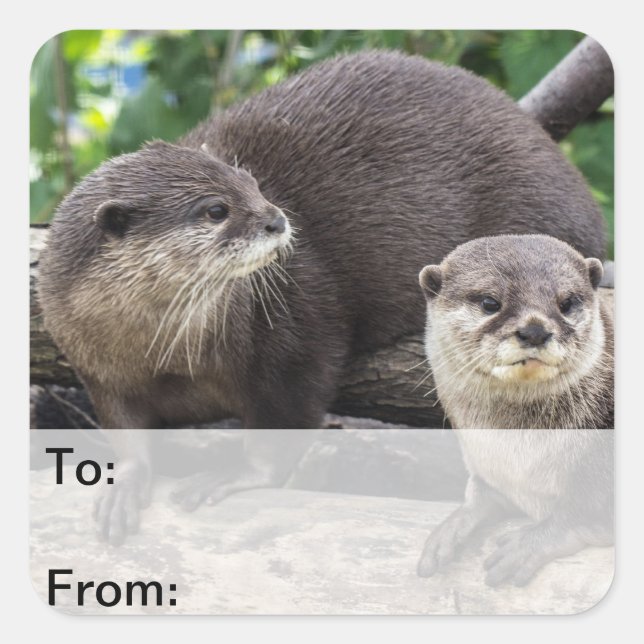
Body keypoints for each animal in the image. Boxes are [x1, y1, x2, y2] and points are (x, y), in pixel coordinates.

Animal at [38, 51, 606, 544]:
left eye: (251, 182)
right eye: (216, 209)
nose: (277, 218)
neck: (169, 354)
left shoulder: (294, 335)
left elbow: (285, 418)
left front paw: (236, 475)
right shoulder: (99, 371)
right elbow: (127, 432)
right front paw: (125, 484)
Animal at [417, 234, 613, 585]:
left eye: (566, 303)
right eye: (490, 302)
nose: (534, 330)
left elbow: (585, 507)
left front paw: (533, 542)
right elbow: (481, 492)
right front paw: (454, 525)